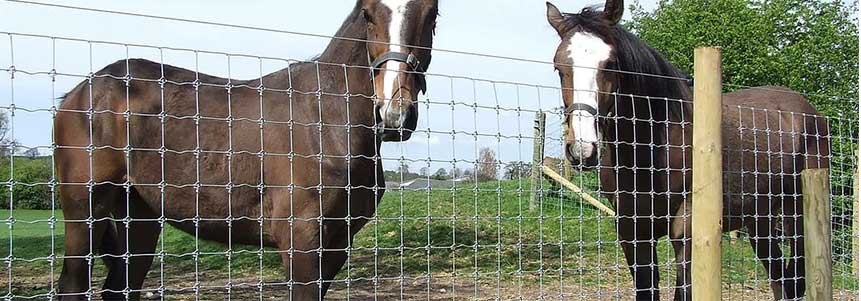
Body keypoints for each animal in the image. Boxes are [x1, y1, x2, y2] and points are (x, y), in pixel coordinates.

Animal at [55, 1, 436, 298]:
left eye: (432, 14)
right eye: (368, 14)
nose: (395, 114)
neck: (326, 120)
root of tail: (81, 90)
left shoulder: (337, 244)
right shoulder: (301, 241)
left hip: (138, 216)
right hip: (85, 210)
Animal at [548, 1, 828, 298]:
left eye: (611, 64)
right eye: (559, 68)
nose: (582, 149)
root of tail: (810, 113)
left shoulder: (687, 230)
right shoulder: (632, 231)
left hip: (796, 216)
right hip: (760, 221)